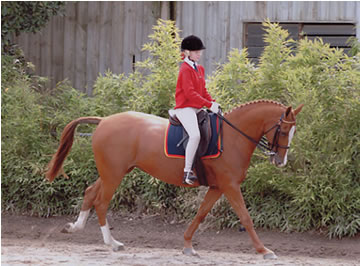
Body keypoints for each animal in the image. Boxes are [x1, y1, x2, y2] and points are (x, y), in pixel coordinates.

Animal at [46, 98, 302, 258]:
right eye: (282, 130)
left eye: (293, 131)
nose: (280, 161)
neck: (233, 136)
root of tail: (105, 121)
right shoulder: (230, 186)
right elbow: (246, 218)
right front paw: (264, 250)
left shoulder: (218, 187)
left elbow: (200, 214)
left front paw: (188, 246)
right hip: (113, 175)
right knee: (101, 202)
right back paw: (112, 243)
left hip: (114, 172)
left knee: (90, 192)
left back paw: (75, 227)